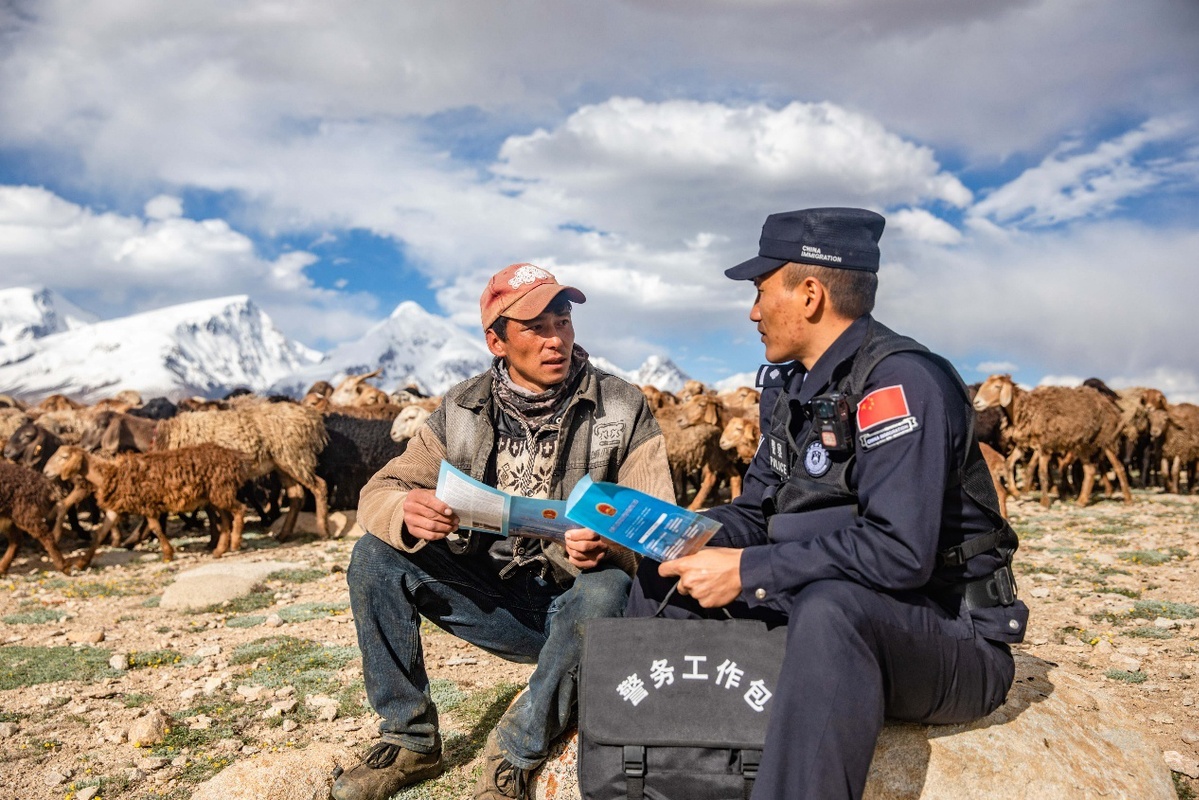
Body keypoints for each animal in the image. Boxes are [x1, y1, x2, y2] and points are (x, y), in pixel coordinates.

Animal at [43, 448, 254, 566]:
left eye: (63, 457)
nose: (45, 471)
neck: (108, 473)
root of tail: (236, 458)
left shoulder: (147, 504)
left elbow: (156, 528)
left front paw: (168, 553)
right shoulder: (116, 509)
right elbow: (100, 534)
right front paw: (82, 562)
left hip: (221, 491)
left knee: (240, 509)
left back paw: (235, 543)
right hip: (216, 494)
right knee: (226, 520)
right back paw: (220, 550)